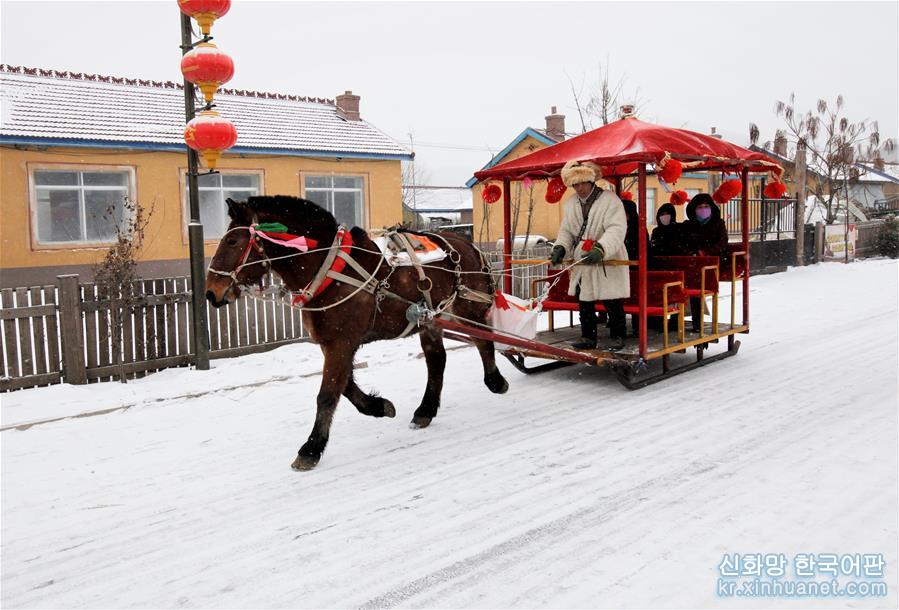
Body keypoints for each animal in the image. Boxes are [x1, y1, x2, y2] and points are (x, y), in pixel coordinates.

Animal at [207, 196, 510, 470]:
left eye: (232, 241)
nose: (211, 292)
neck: (329, 268)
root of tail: (466, 244)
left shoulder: (341, 342)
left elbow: (327, 394)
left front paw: (311, 449)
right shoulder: (334, 343)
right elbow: (346, 386)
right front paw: (379, 406)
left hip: (467, 308)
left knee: (483, 341)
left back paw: (495, 381)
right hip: (431, 319)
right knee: (437, 360)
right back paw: (425, 410)